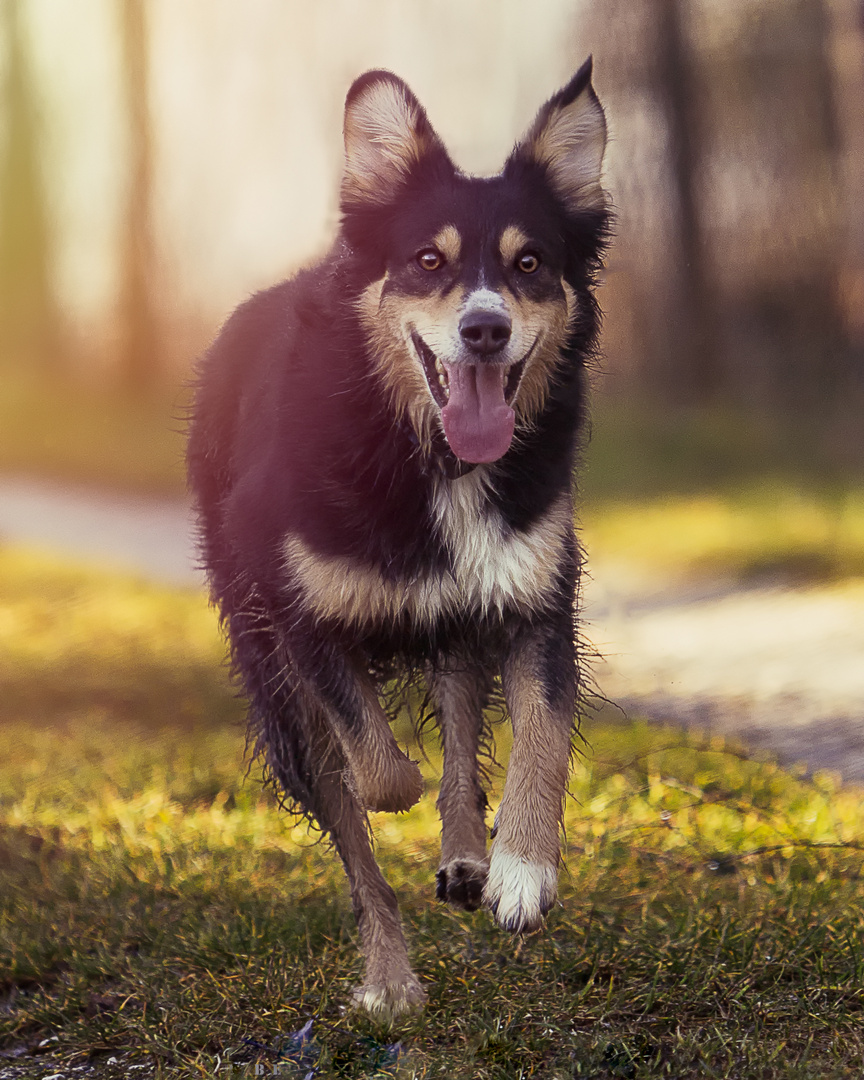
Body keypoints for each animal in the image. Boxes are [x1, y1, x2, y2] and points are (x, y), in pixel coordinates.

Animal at [186, 59, 609, 1019]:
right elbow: (378, 772)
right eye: (427, 261)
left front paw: (520, 868)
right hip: (276, 685)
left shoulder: (531, 593)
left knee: (458, 709)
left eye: (531, 263)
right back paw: (389, 980)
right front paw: (413, 801)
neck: (429, 455)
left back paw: (466, 854)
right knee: (358, 844)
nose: (485, 328)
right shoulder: (299, 616)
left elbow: (540, 731)